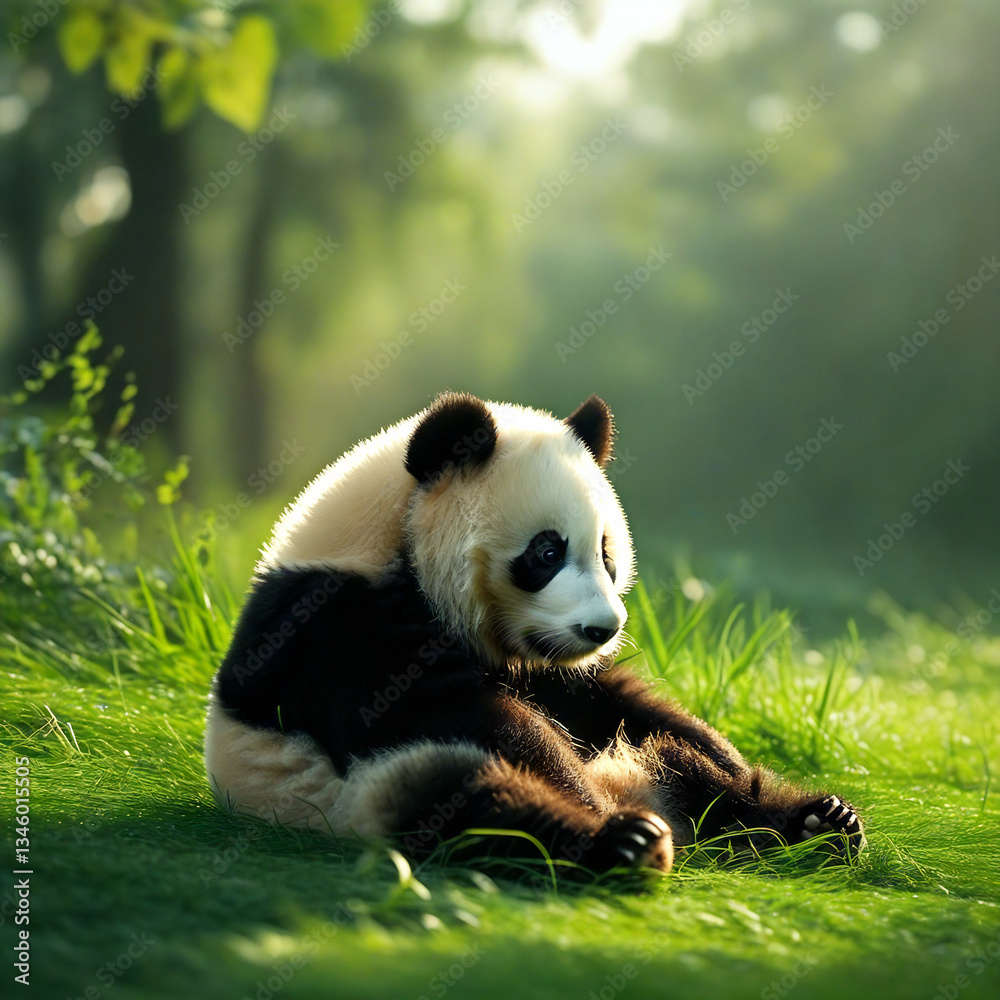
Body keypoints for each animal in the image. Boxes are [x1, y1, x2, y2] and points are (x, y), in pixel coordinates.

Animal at [205, 392, 864, 876]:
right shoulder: (335, 625)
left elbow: (608, 701)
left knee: (678, 761)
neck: (394, 537)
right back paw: (623, 842)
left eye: (606, 553)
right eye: (547, 551)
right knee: (475, 805)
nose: (603, 628)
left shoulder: (550, 667)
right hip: (358, 795)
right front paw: (579, 791)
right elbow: (459, 713)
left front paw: (730, 758)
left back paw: (812, 822)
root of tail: (645, 794)